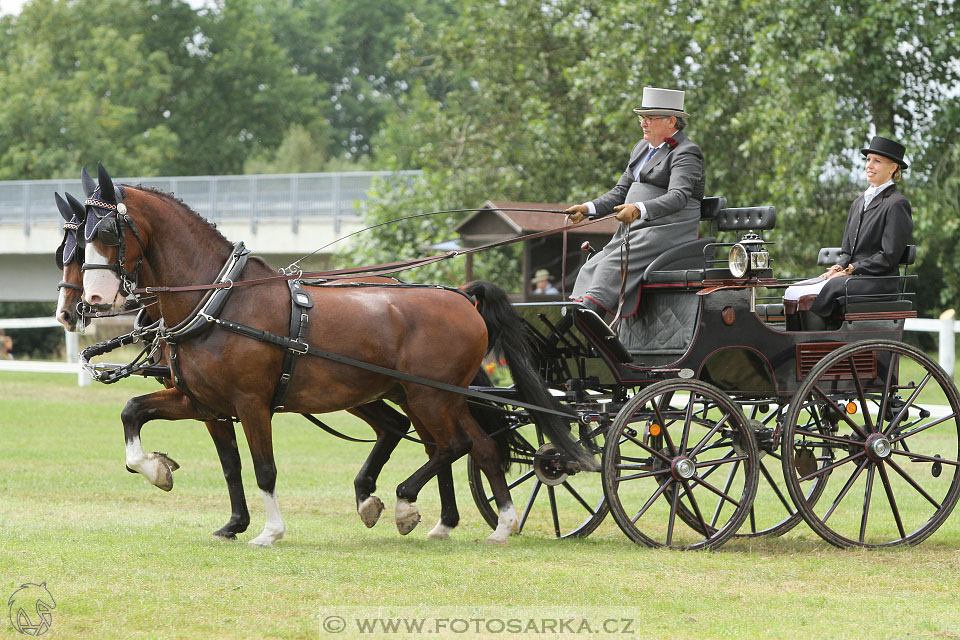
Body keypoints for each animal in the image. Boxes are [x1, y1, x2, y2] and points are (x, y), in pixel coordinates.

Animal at [77, 164, 592, 544]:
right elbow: (135, 414)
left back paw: (403, 502)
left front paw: (270, 531)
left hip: (429, 397)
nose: (91, 300)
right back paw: (493, 523)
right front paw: (157, 469)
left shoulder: (251, 403)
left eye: (108, 230)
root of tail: (462, 297)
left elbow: (264, 468)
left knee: (453, 445)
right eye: (80, 234)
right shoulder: (201, 401)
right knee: (474, 446)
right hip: (432, 397)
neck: (220, 302)